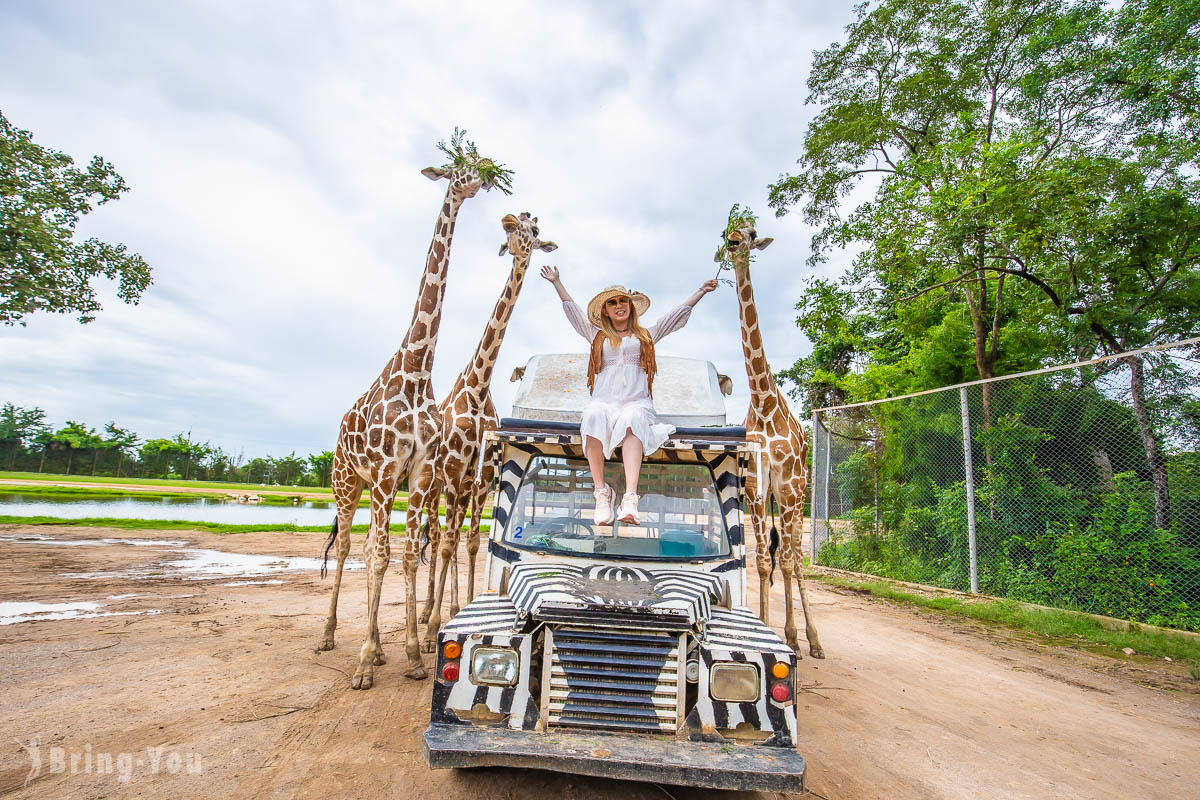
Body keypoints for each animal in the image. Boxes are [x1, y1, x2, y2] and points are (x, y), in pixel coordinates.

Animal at [314, 133, 511, 690]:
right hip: (347, 481)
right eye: (460, 167)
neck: (418, 369)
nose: (484, 177)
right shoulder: (387, 472)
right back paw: (332, 636)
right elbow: (383, 555)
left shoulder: (422, 473)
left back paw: (385, 643)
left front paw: (412, 653)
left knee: (380, 547)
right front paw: (367, 660)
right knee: (348, 548)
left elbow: (408, 553)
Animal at [417, 212, 556, 652]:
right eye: (516, 222)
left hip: (461, 490)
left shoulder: (480, 480)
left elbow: (474, 543)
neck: (477, 391)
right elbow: (447, 543)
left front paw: (463, 605)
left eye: (533, 229)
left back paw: (445, 605)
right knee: (437, 536)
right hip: (434, 486)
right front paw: (431, 631)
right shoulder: (453, 471)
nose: (508, 219)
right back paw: (426, 613)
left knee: (453, 537)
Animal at [710, 214, 825, 657]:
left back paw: (812, 639)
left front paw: (791, 635)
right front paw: (762, 624)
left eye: (752, 233)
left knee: (795, 554)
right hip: (777, 497)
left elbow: (789, 560)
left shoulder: (787, 485)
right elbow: (761, 560)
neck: (763, 401)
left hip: (798, 492)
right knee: (781, 554)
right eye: (730, 231)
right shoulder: (757, 488)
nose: (733, 241)